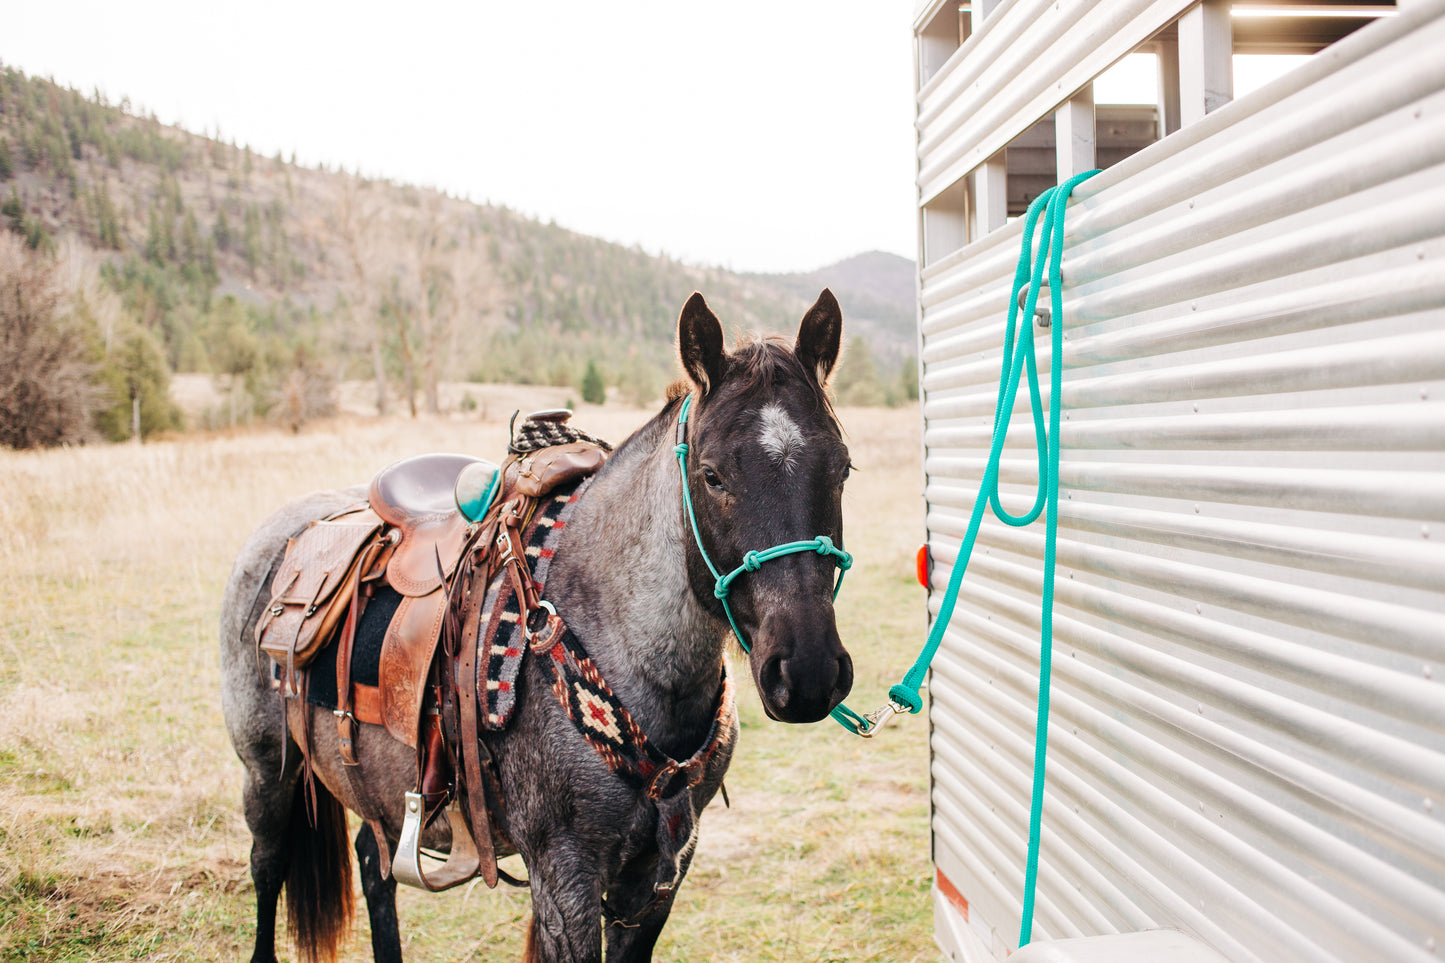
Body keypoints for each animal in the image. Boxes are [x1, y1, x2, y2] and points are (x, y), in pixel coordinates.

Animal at [221, 289, 855, 954]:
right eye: (712, 475)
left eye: (842, 470)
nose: (807, 671)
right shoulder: (564, 873)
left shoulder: (661, 874)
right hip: (266, 772)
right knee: (267, 865)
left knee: (374, 862)